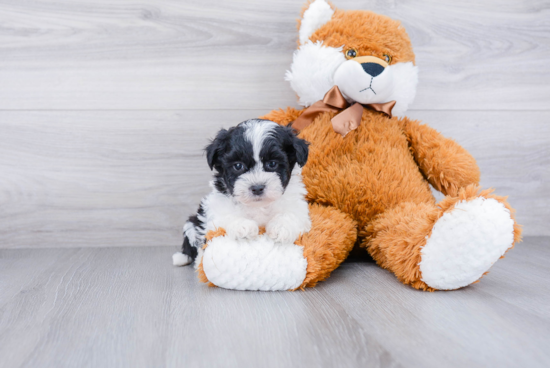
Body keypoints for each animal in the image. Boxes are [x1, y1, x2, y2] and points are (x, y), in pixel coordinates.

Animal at [174, 119, 310, 266]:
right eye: (238, 166)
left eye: (272, 164)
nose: (257, 188)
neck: (258, 206)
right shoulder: (217, 204)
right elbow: (227, 214)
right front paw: (243, 226)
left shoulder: (298, 205)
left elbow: (292, 213)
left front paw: (281, 227)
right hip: (192, 223)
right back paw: (183, 258)